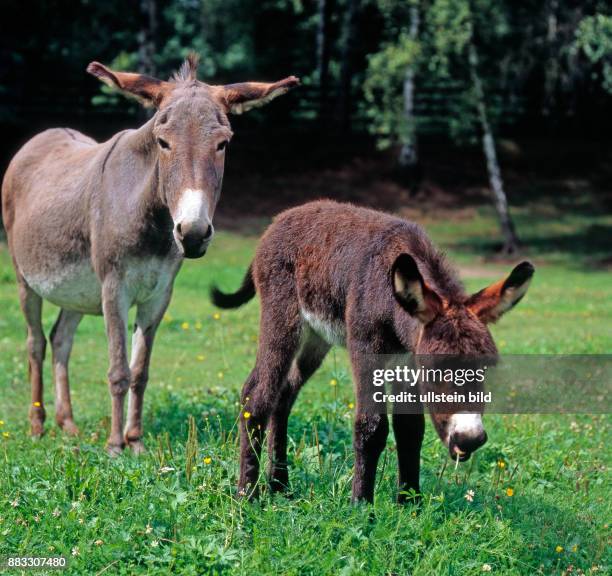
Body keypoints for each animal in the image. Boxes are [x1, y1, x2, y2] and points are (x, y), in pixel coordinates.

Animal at [2, 54, 298, 452]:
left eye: (223, 144)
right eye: (163, 142)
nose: (192, 233)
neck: (152, 220)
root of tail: (42, 136)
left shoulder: (158, 295)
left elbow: (140, 371)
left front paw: (136, 440)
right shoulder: (114, 288)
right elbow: (118, 370)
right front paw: (115, 445)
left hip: (76, 290)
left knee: (60, 340)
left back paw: (68, 424)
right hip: (25, 279)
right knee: (35, 344)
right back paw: (37, 425)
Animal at [214, 200, 536, 502]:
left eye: (486, 369)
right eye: (434, 371)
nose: (469, 439)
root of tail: (280, 219)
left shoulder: (407, 361)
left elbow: (409, 429)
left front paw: (410, 504)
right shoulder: (366, 352)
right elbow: (371, 427)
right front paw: (361, 505)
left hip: (317, 338)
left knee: (284, 393)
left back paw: (280, 485)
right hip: (283, 319)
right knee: (257, 395)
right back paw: (248, 495)